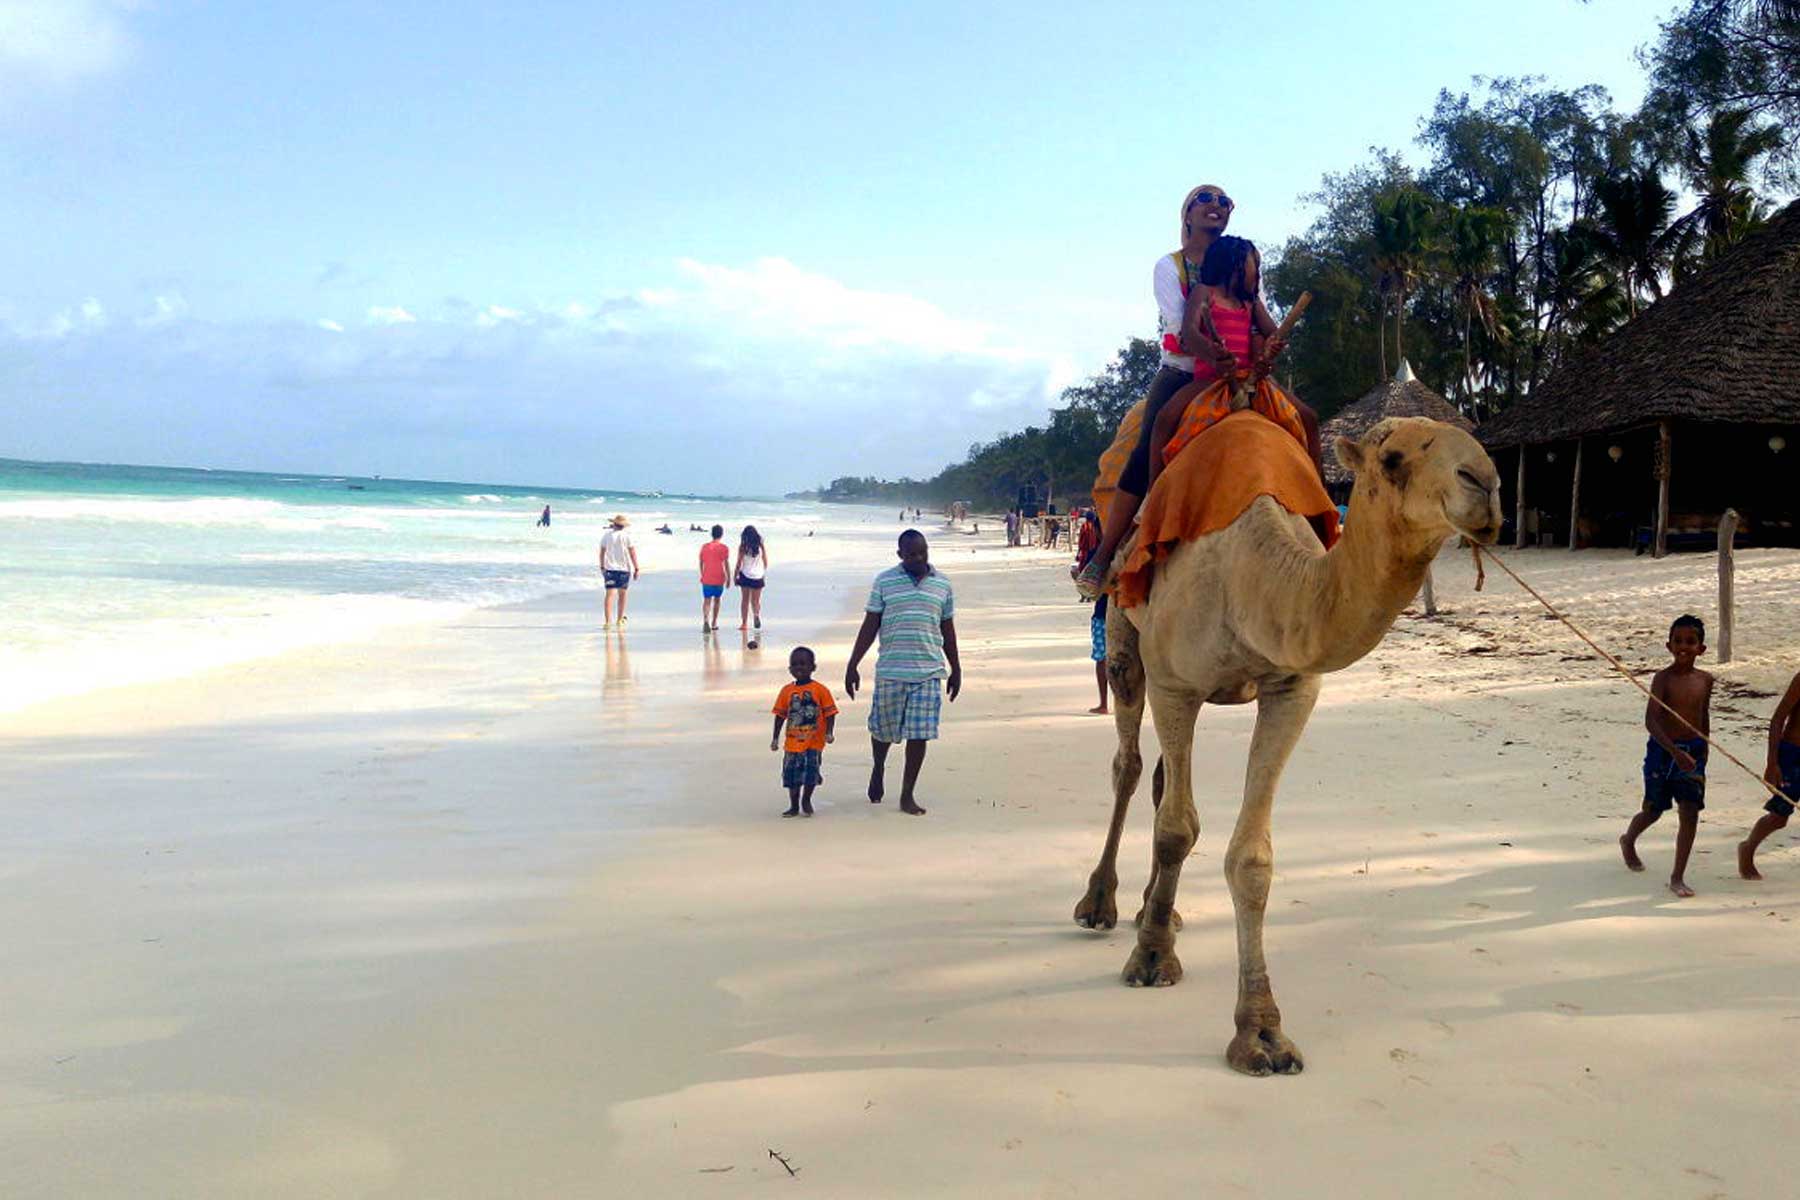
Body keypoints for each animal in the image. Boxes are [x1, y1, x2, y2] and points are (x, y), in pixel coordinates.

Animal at [1072, 415, 1497, 1079]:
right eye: (1393, 458)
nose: (1487, 487)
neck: (1252, 578)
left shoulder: (1292, 687)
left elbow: (1249, 857)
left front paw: (1262, 1033)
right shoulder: (1175, 682)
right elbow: (1176, 829)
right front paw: (1151, 960)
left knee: (1165, 781)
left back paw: (1155, 908)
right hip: (1124, 632)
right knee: (1130, 766)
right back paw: (1101, 904)